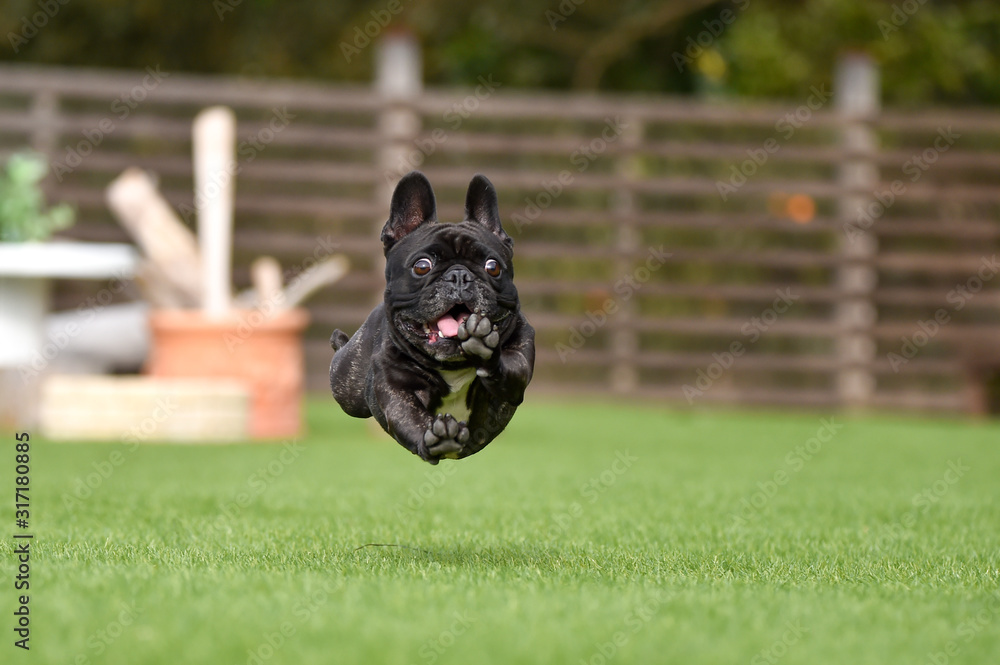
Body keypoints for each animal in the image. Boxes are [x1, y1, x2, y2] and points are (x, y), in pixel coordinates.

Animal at [329, 171, 535, 464]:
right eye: (422, 266)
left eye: (493, 267)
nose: (459, 276)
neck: (453, 367)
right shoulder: (394, 386)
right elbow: (408, 416)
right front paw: (438, 437)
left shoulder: (520, 357)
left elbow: (511, 370)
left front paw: (484, 349)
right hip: (346, 385)